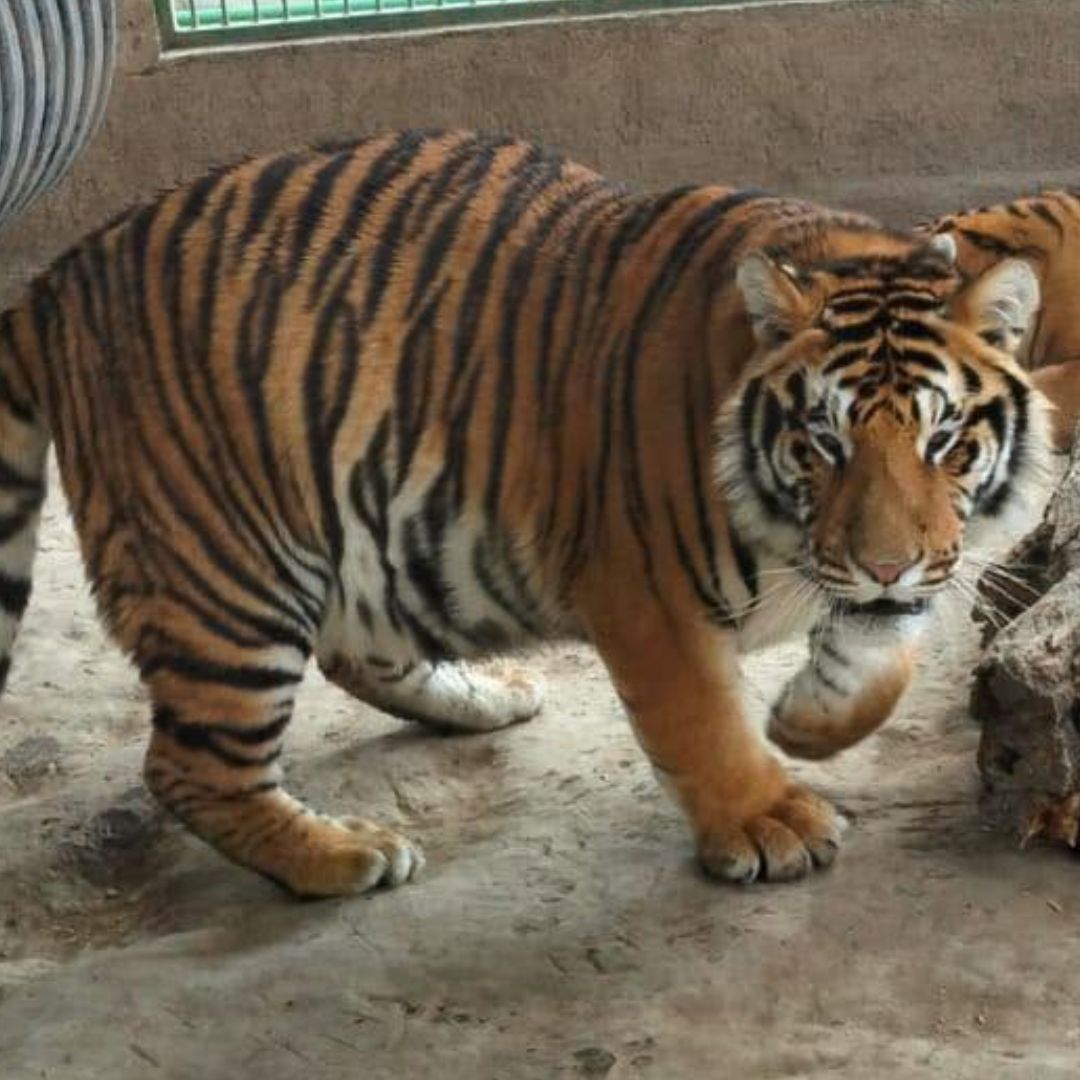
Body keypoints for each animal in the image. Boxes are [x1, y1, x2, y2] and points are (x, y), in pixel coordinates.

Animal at [0, 131, 1051, 897]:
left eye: (945, 441)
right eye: (822, 441)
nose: (886, 565)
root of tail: (53, 284)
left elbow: (884, 659)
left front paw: (807, 722)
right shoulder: (643, 588)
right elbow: (700, 718)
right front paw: (765, 820)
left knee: (353, 651)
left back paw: (484, 695)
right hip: (229, 568)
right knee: (190, 765)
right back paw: (342, 857)